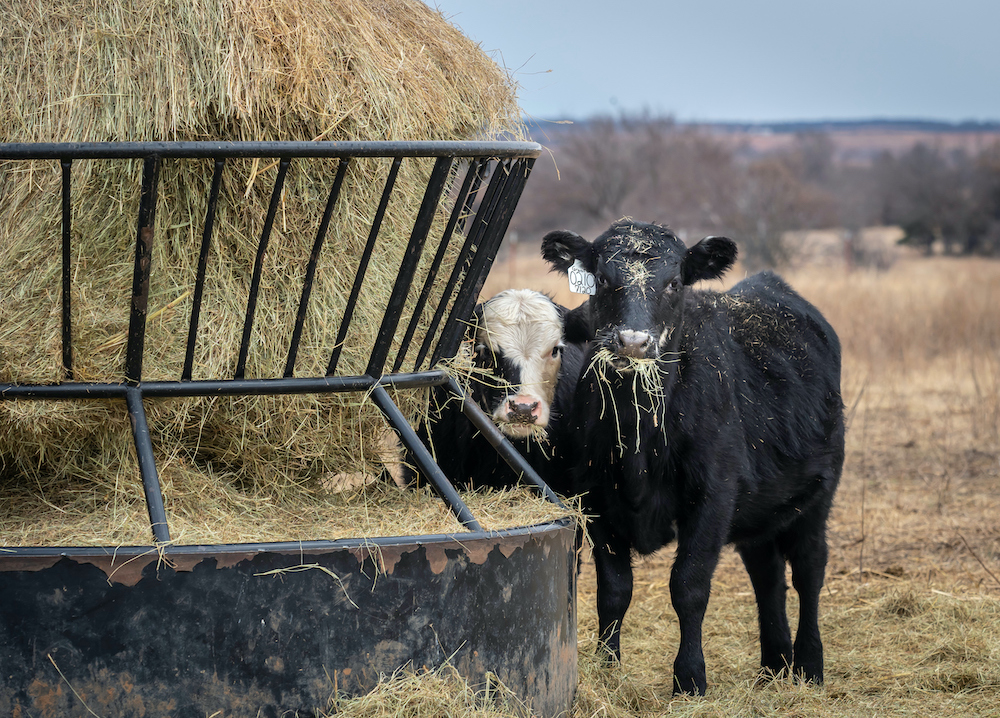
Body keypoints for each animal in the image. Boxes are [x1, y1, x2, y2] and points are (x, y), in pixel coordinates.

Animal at [540, 221, 844, 696]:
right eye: (603, 279)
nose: (633, 341)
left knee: (809, 569)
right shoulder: (596, 500)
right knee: (767, 574)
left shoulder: (713, 496)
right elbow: (614, 590)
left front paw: (690, 678)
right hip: (760, 509)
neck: (638, 439)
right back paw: (774, 665)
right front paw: (609, 668)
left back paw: (810, 666)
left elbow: (689, 586)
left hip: (818, 495)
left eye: (674, 282)